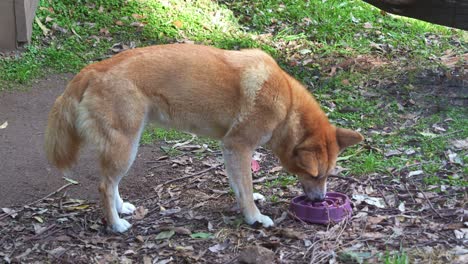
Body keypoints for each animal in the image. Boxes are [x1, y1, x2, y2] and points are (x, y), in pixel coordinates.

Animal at [44, 44, 362, 232]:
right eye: (316, 175)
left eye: (327, 175)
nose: (320, 200)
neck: (286, 104)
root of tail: (92, 69)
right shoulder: (238, 146)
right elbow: (245, 185)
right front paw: (254, 217)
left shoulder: (230, 149)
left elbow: (239, 184)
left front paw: (247, 204)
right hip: (126, 146)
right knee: (104, 186)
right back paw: (116, 224)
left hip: (126, 144)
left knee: (111, 183)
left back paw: (121, 209)